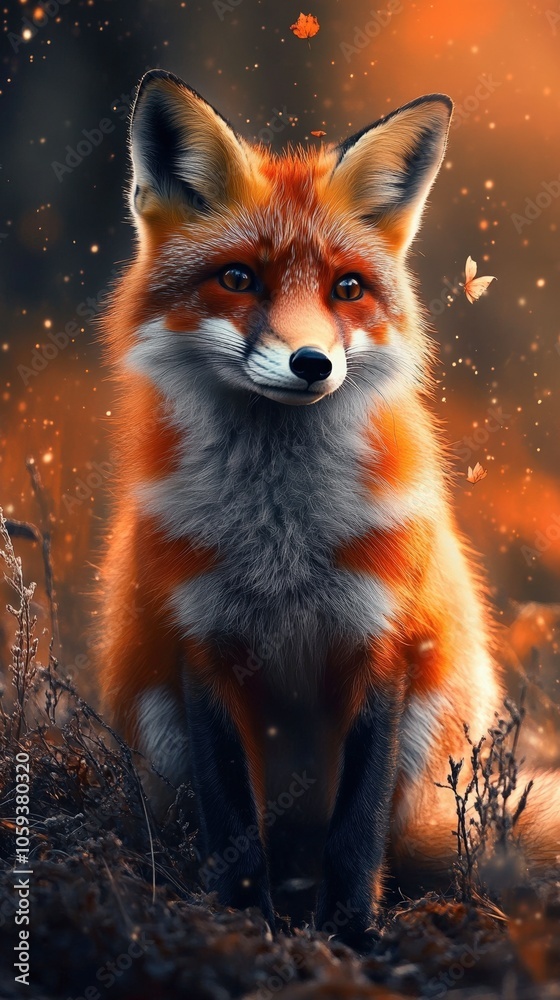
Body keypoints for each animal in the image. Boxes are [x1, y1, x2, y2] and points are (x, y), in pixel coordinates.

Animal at [99, 69, 559, 947]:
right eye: (239, 278)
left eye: (347, 289)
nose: (311, 363)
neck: (280, 540)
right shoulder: (202, 645)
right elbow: (233, 819)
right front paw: (243, 929)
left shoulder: (383, 644)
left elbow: (357, 826)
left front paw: (348, 937)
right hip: (156, 723)